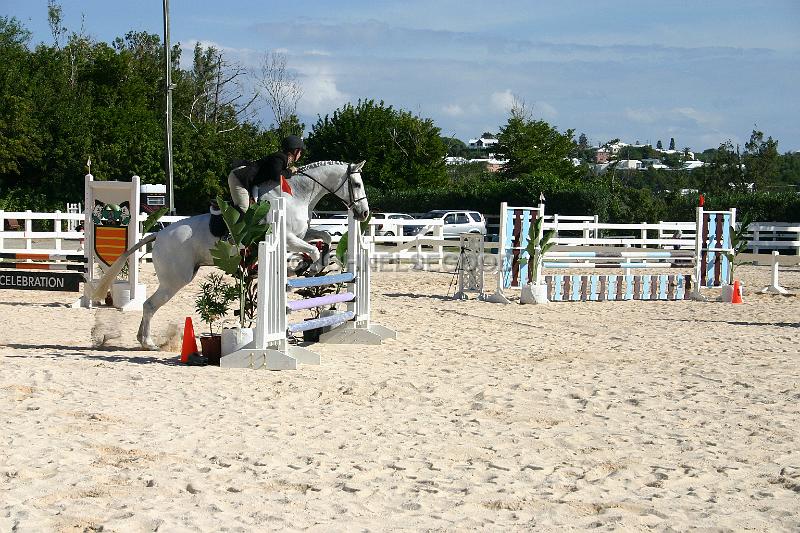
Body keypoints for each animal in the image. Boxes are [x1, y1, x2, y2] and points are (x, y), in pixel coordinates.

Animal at [93, 160, 372, 348]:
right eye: (357, 184)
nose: (364, 214)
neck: (296, 196)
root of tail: (157, 236)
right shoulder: (288, 237)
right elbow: (312, 249)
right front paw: (307, 268)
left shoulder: (302, 233)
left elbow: (324, 237)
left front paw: (314, 265)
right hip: (176, 279)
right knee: (150, 305)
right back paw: (148, 342)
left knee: (149, 306)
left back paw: (142, 339)